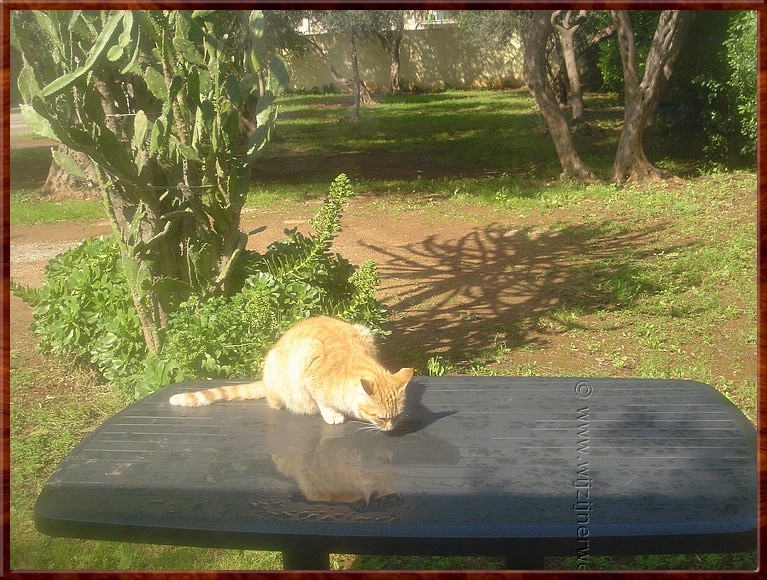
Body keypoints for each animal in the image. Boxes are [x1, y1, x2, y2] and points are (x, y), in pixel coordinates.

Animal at [169, 318, 414, 430]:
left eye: (397, 416)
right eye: (381, 417)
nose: (391, 429)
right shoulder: (308, 363)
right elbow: (322, 401)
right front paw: (332, 414)